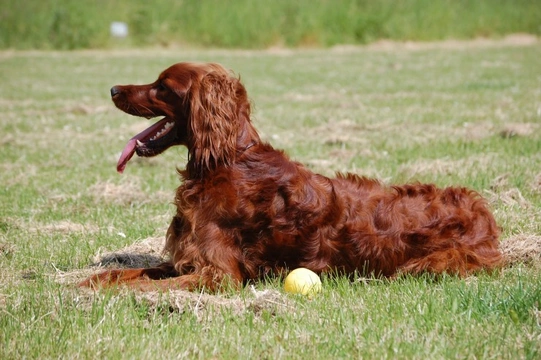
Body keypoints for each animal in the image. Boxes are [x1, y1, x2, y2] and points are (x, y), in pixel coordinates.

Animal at [80, 62, 502, 292]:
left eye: (163, 87)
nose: (113, 88)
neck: (226, 161)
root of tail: (483, 212)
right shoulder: (187, 259)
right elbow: (128, 273)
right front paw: (86, 282)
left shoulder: (218, 275)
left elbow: (141, 286)